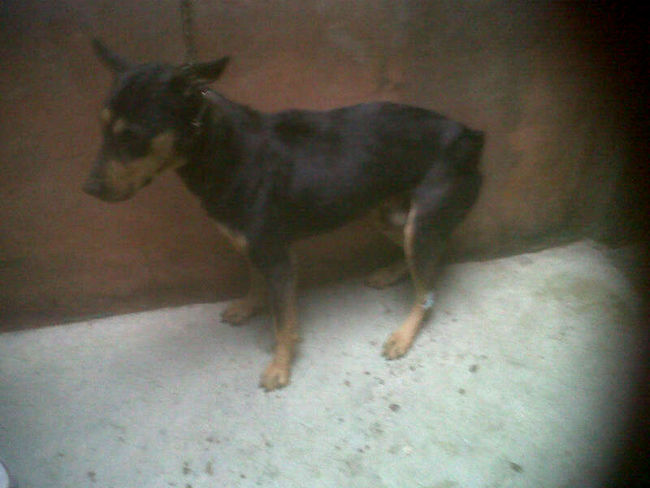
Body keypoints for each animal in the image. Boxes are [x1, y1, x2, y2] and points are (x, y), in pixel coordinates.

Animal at [83, 40, 484, 391]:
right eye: (102, 126)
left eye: (133, 136)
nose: (88, 189)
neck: (220, 148)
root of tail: (469, 134)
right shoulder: (254, 246)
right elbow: (255, 281)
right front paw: (249, 307)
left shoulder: (278, 258)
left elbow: (282, 321)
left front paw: (279, 365)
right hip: (386, 211)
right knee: (426, 260)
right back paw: (391, 273)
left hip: (421, 222)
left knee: (427, 289)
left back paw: (403, 334)